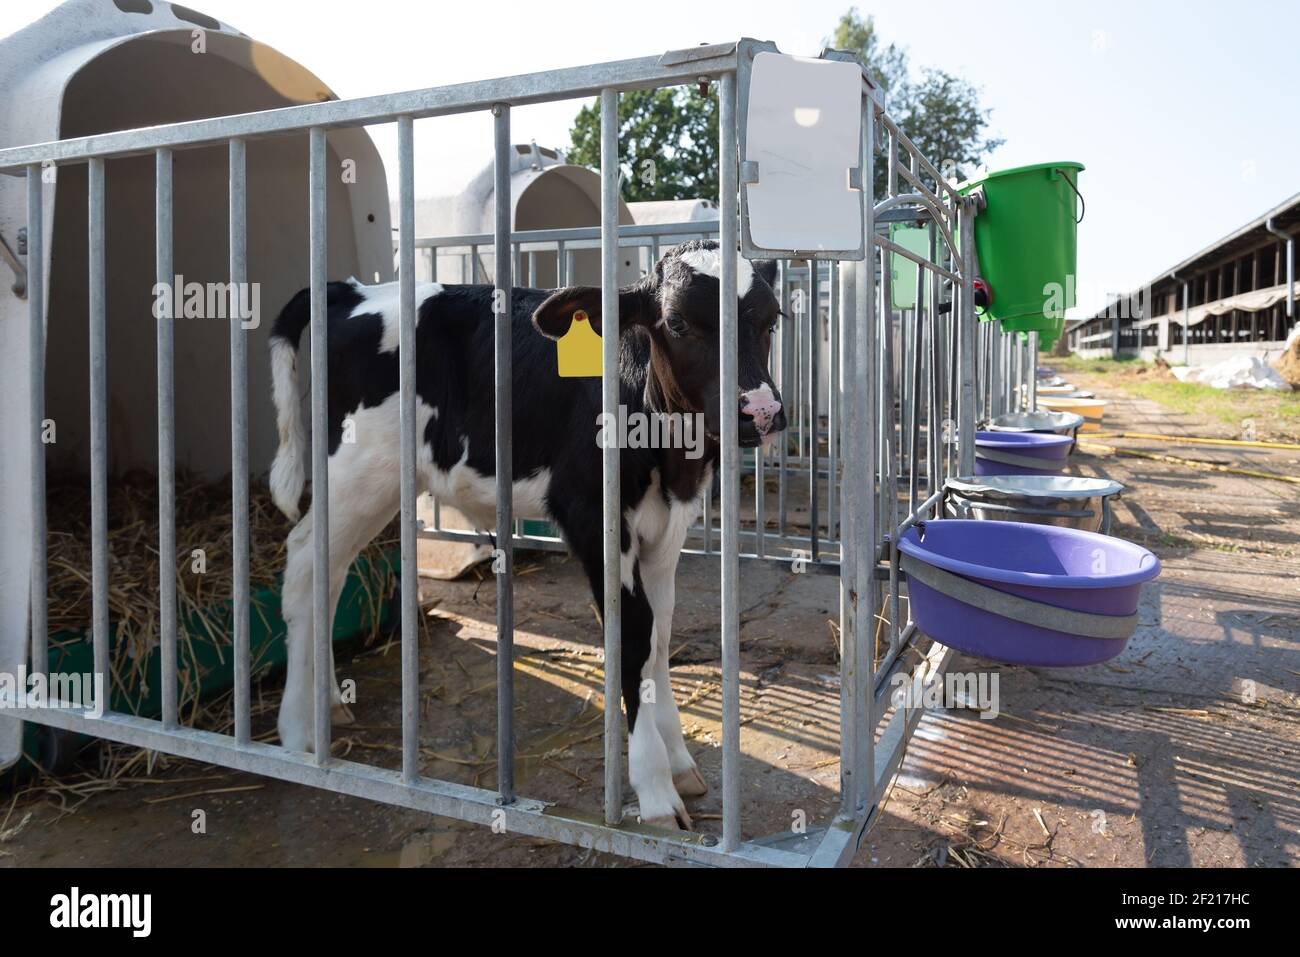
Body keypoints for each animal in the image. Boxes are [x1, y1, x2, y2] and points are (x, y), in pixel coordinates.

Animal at [269, 239, 785, 832]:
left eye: (772, 319)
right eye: (677, 323)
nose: (762, 412)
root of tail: (351, 291)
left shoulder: (668, 527)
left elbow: (658, 639)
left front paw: (678, 762)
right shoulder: (591, 518)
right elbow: (632, 641)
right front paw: (656, 792)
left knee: (330, 571)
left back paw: (328, 700)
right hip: (355, 470)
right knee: (305, 562)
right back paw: (298, 732)